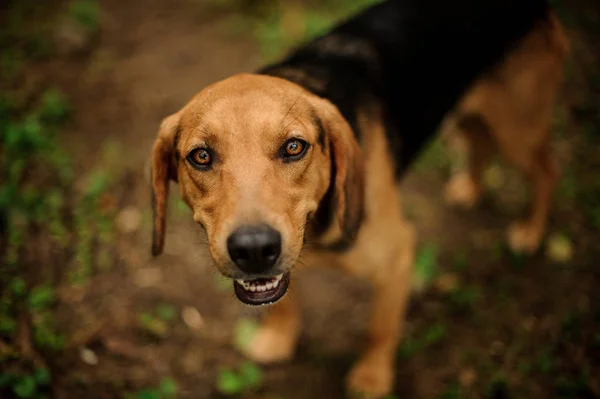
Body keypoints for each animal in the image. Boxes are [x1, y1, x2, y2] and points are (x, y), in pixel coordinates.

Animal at [149, 2, 568, 396]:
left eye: (294, 147)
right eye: (201, 156)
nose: (253, 249)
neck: (316, 231)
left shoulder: (397, 257)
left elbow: (378, 331)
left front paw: (371, 379)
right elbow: (284, 301)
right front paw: (278, 338)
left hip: (518, 130)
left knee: (547, 170)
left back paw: (530, 231)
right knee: (480, 142)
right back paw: (469, 188)